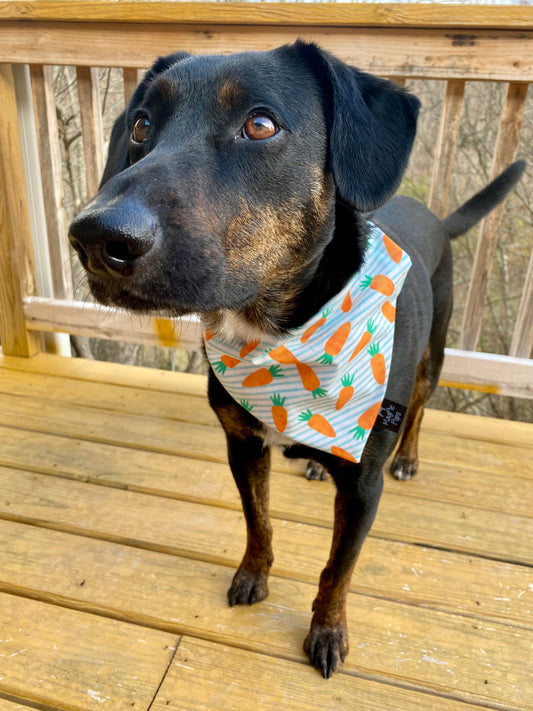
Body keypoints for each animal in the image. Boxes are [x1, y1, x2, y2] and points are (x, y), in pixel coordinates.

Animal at [67, 44, 524, 680]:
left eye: (261, 125)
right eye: (140, 126)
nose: (93, 237)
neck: (277, 340)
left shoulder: (363, 488)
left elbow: (338, 568)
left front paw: (328, 631)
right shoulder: (242, 444)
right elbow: (257, 519)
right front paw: (253, 575)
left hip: (431, 359)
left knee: (421, 409)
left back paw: (407, 457)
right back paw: (313, 465)